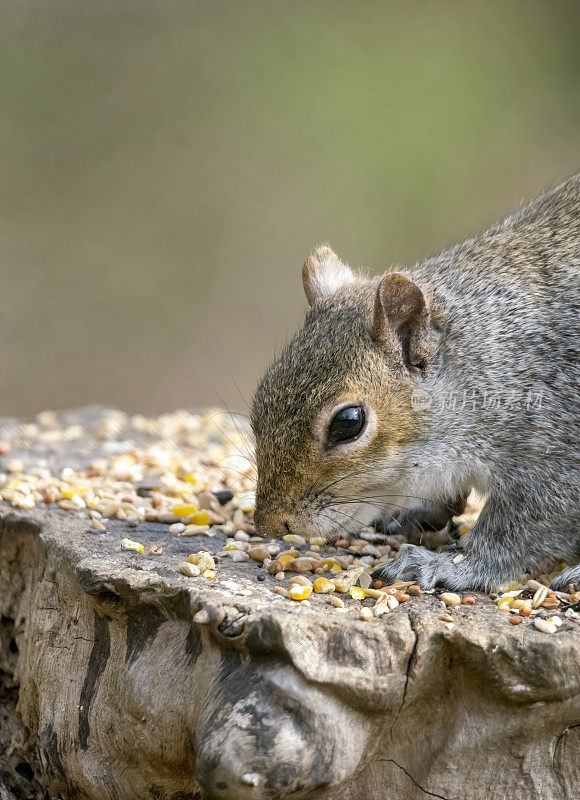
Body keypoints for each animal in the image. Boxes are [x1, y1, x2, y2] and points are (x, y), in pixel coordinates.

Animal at [253, 175, 580, 592]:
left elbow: (521, 529)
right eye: (261, 399)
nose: (268, 525)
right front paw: (417, 513)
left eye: (348, 423)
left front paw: (448, 567)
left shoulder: (557, 442)